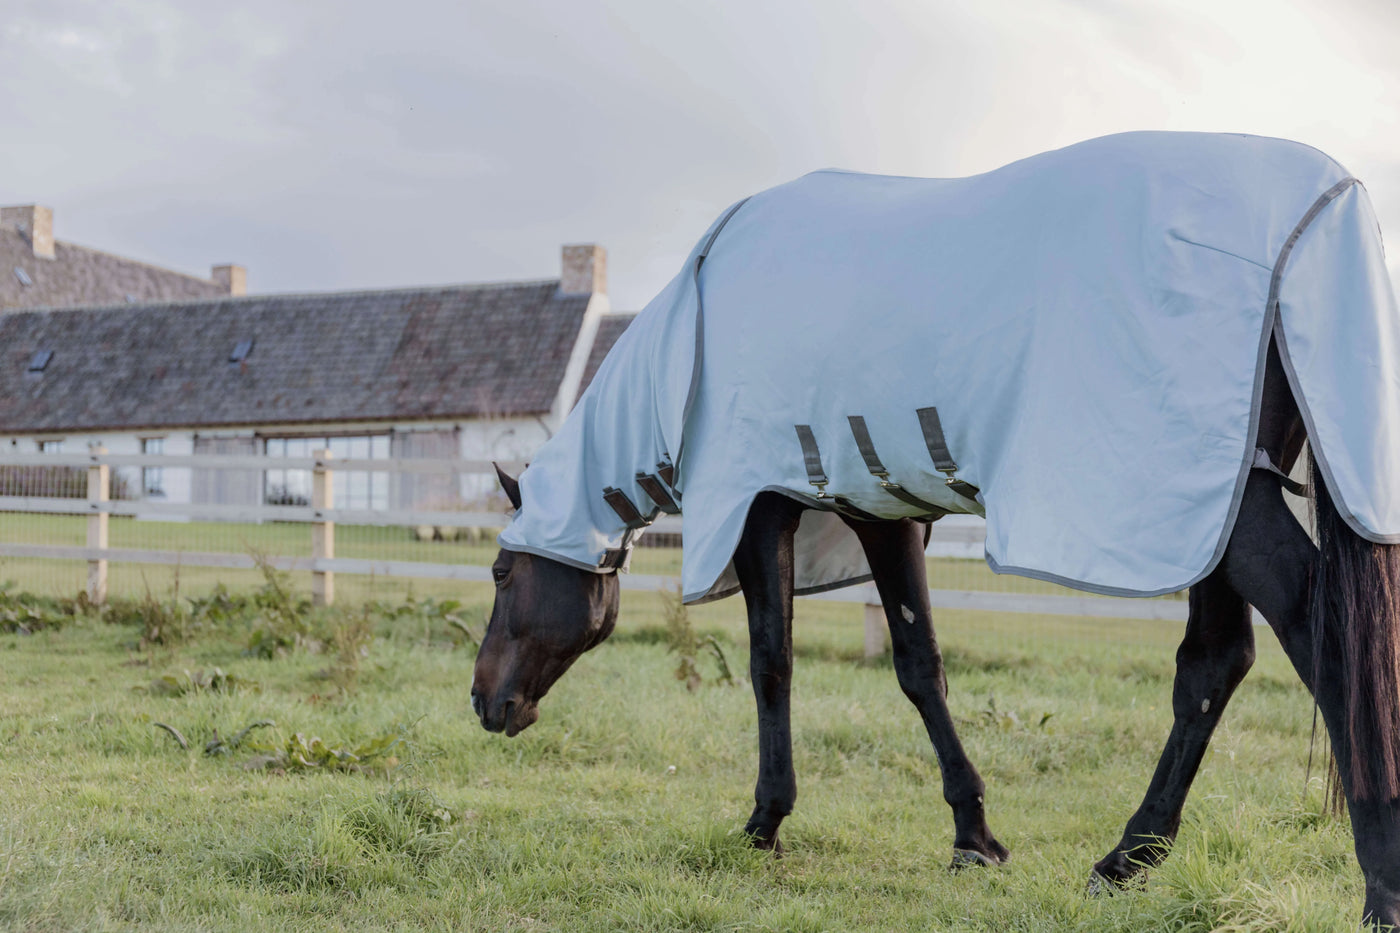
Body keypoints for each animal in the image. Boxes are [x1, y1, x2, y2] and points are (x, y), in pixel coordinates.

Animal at [470, 132, 1400, 927]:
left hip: (1223, 508)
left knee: (1323, 642)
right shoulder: (879, 508)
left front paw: (766, 821)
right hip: (1208, 504)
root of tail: (1325, 208)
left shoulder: (769, 504)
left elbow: (778, 662)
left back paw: (1377, 887)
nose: (485, 702)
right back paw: (1126, 859)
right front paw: (973, 835)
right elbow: (921, 665)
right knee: (1215, 663)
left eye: (500, 574)